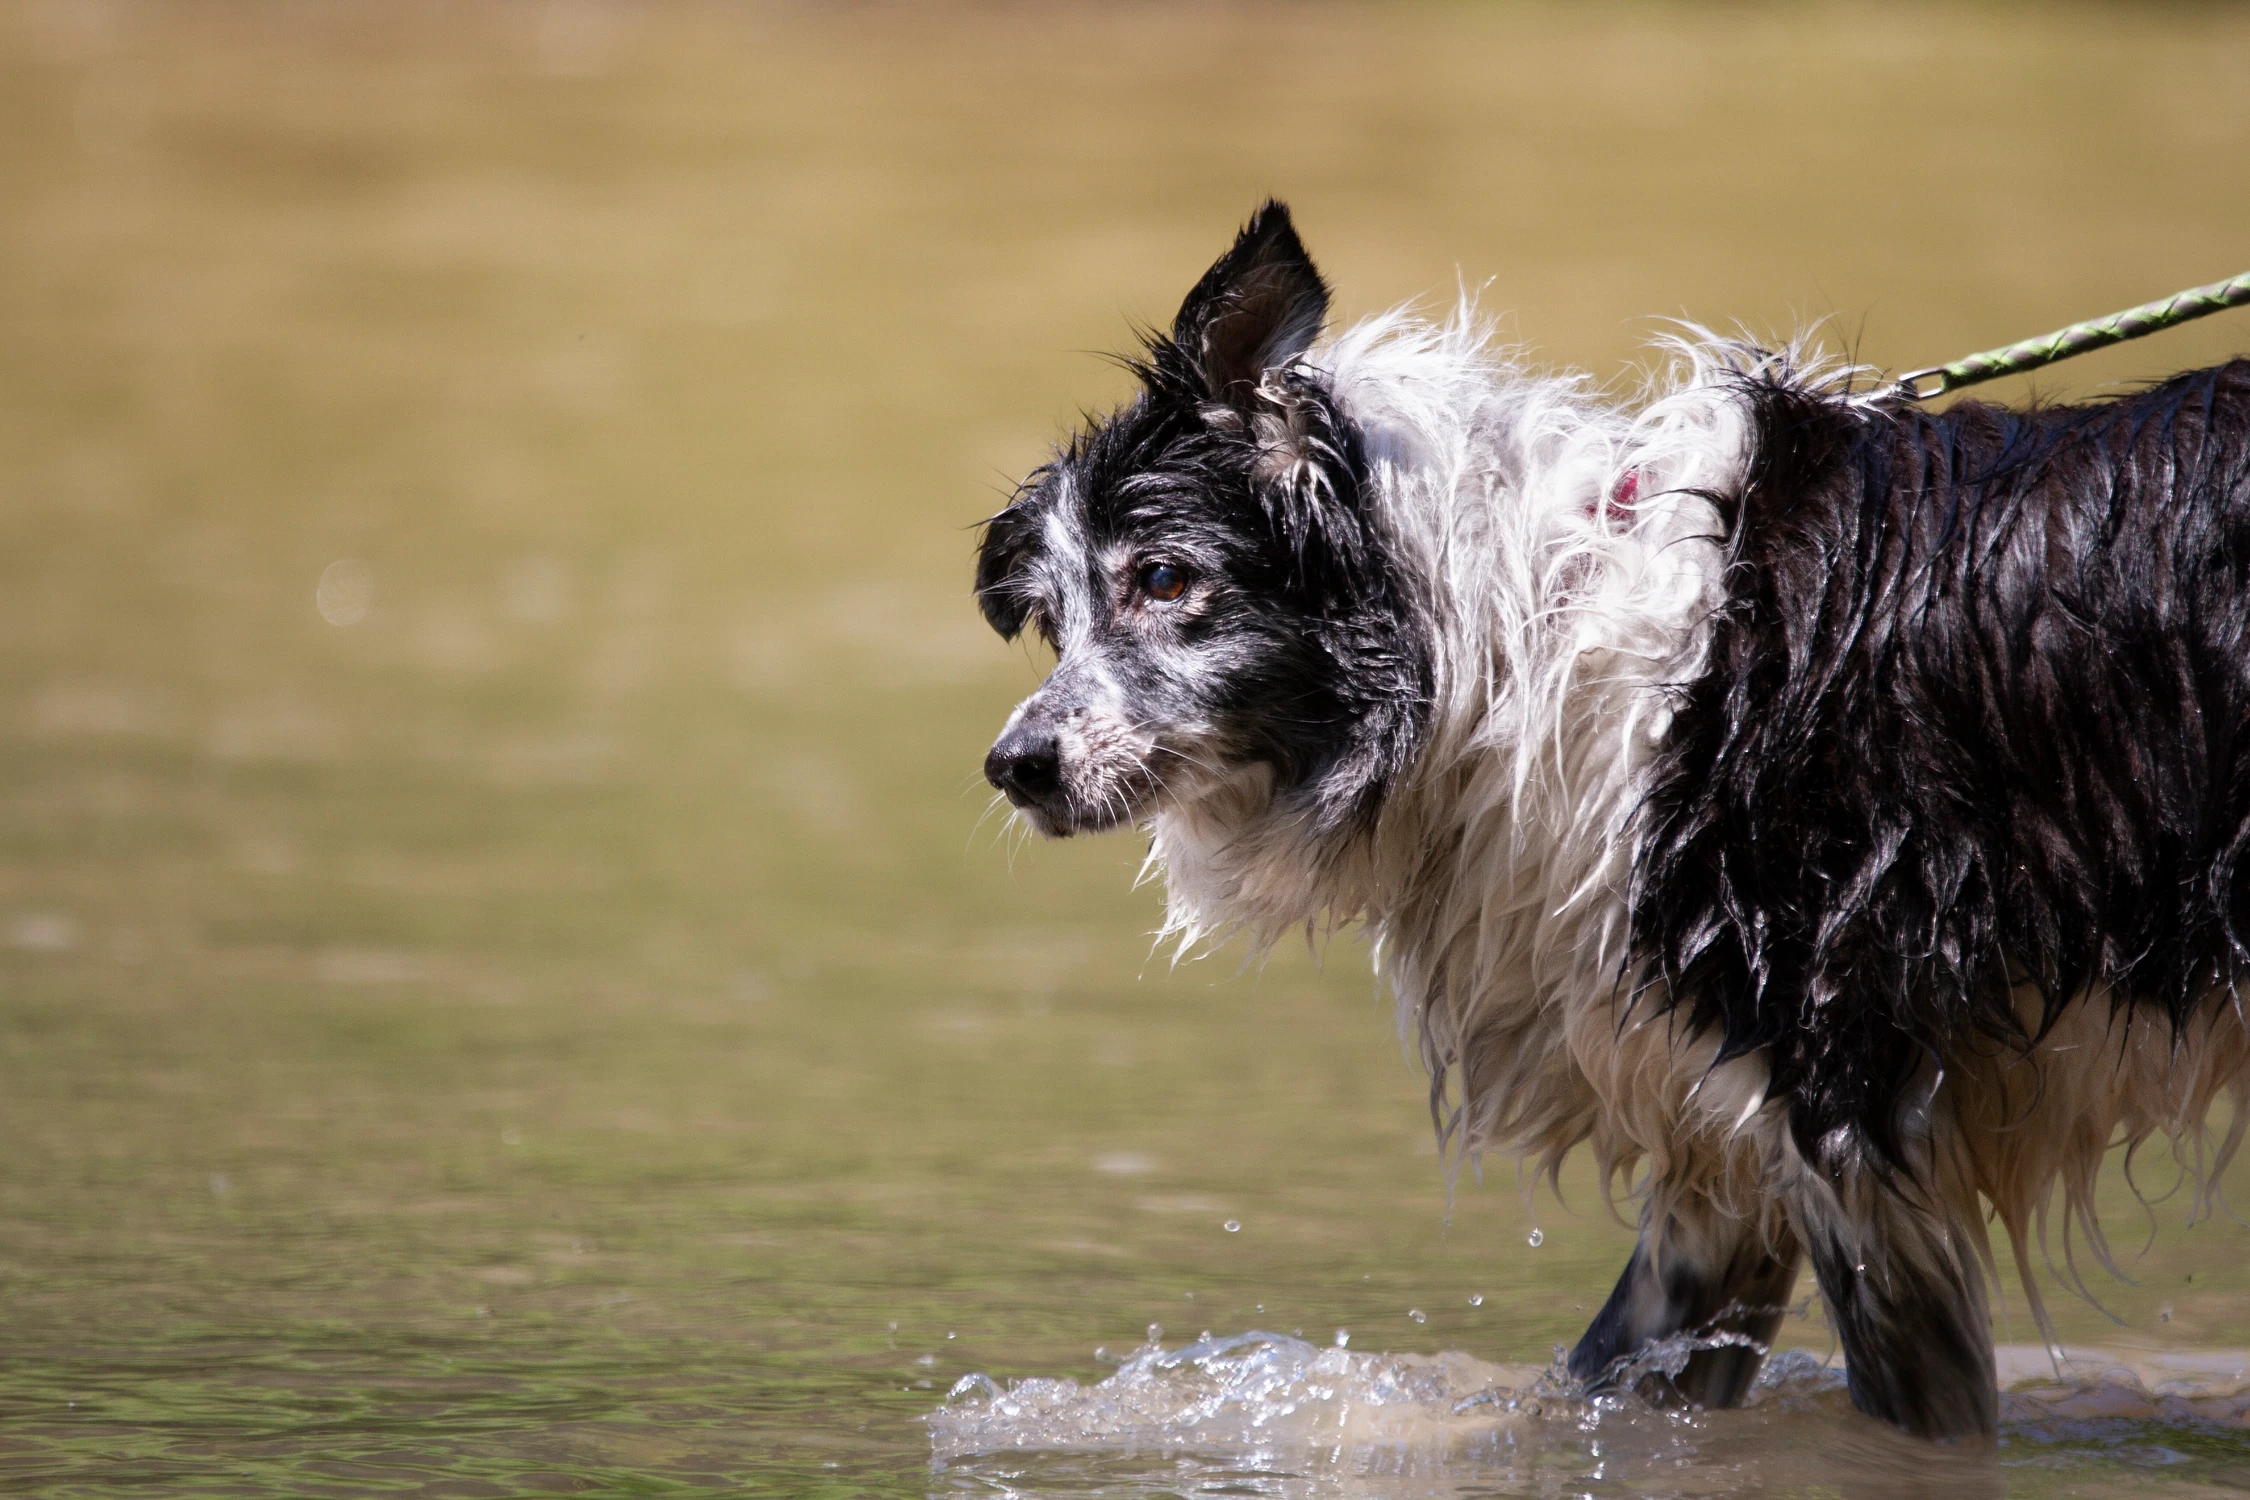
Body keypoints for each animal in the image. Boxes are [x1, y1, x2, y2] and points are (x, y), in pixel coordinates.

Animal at [976, 202, 2250, 1439]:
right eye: (1053, 617)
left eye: (1163, 578)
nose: (1012, 766)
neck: (1513, 642)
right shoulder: (1724, 1139)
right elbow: (1610, 1378)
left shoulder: (1846, 1101)